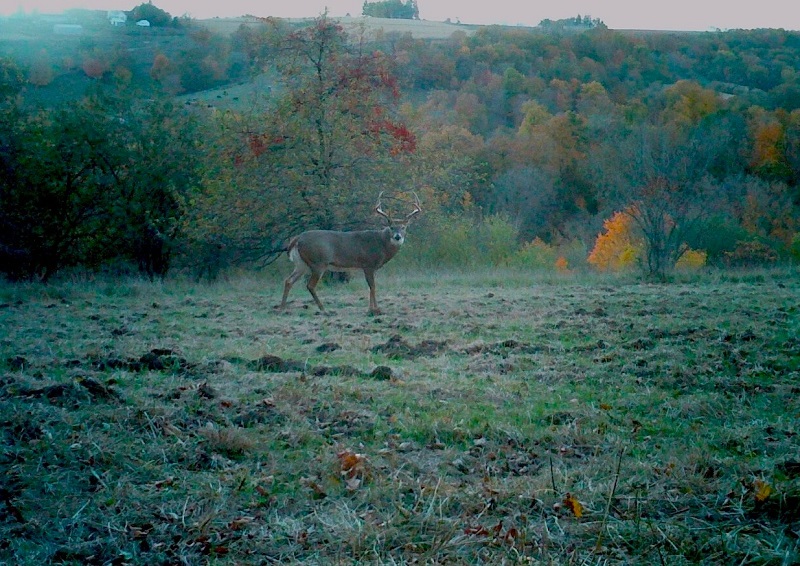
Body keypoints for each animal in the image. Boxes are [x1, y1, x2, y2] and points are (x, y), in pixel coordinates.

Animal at [278, 193, 422, 312]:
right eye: (391, 227)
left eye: (403, 227)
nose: (397, 236)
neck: (381, 244)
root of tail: (296, 239)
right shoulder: (368, 264)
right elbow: (372, 286)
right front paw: (374, 309)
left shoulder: (372, 267)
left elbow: (372, 286)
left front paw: (373, 308)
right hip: (318, 262)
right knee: (310, 285)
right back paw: (323, 309)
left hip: (301, 264)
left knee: (288, 280)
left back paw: (282, 308)